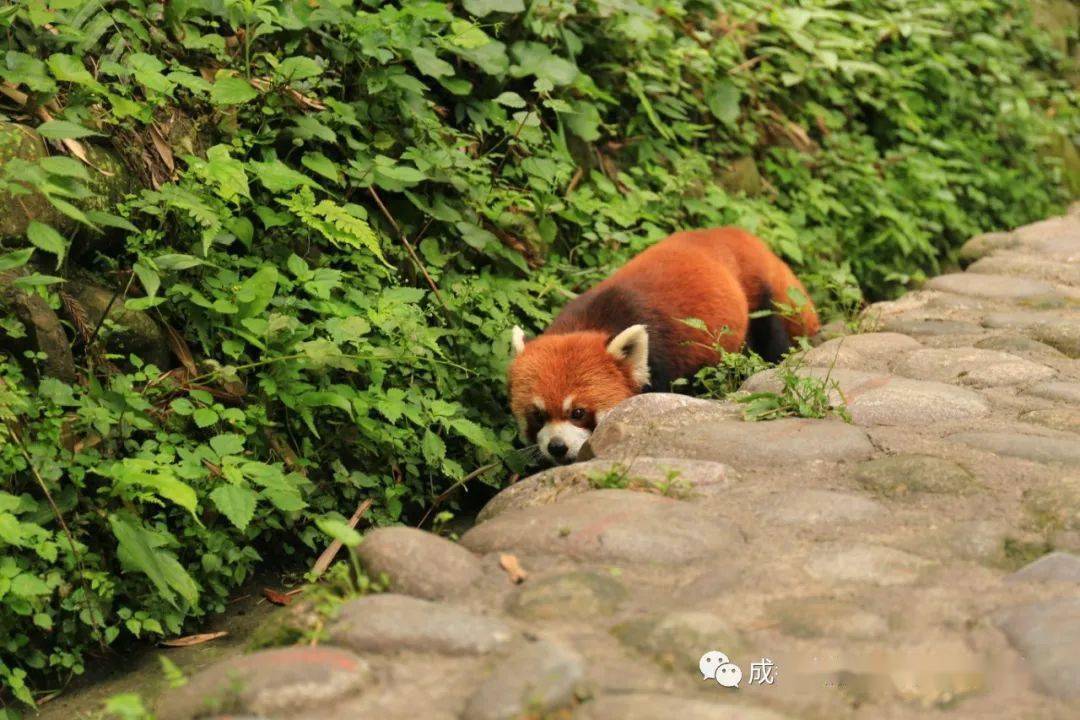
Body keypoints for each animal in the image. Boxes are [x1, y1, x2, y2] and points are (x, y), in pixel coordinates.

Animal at [505, 226, 816, 462]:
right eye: (537, 415)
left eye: (578, 412)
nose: (557, 447)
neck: (592, 319)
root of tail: (734, 233)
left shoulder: (661, 362)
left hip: (760, 298)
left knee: (772, 336)